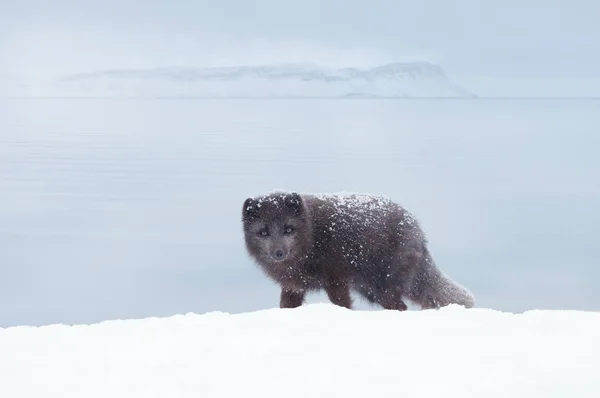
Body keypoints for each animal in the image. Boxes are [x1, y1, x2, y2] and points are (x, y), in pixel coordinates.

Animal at [241, 190, 476, 310]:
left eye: (288, 229)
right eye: (263, 232)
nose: (278, 253)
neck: (313, 236)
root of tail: (417, 230)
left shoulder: (337, 280)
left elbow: (342, 304)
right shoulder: (293, 286)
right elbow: (286, 306)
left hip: (384, 286)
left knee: (400, 306)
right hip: (371, 289)